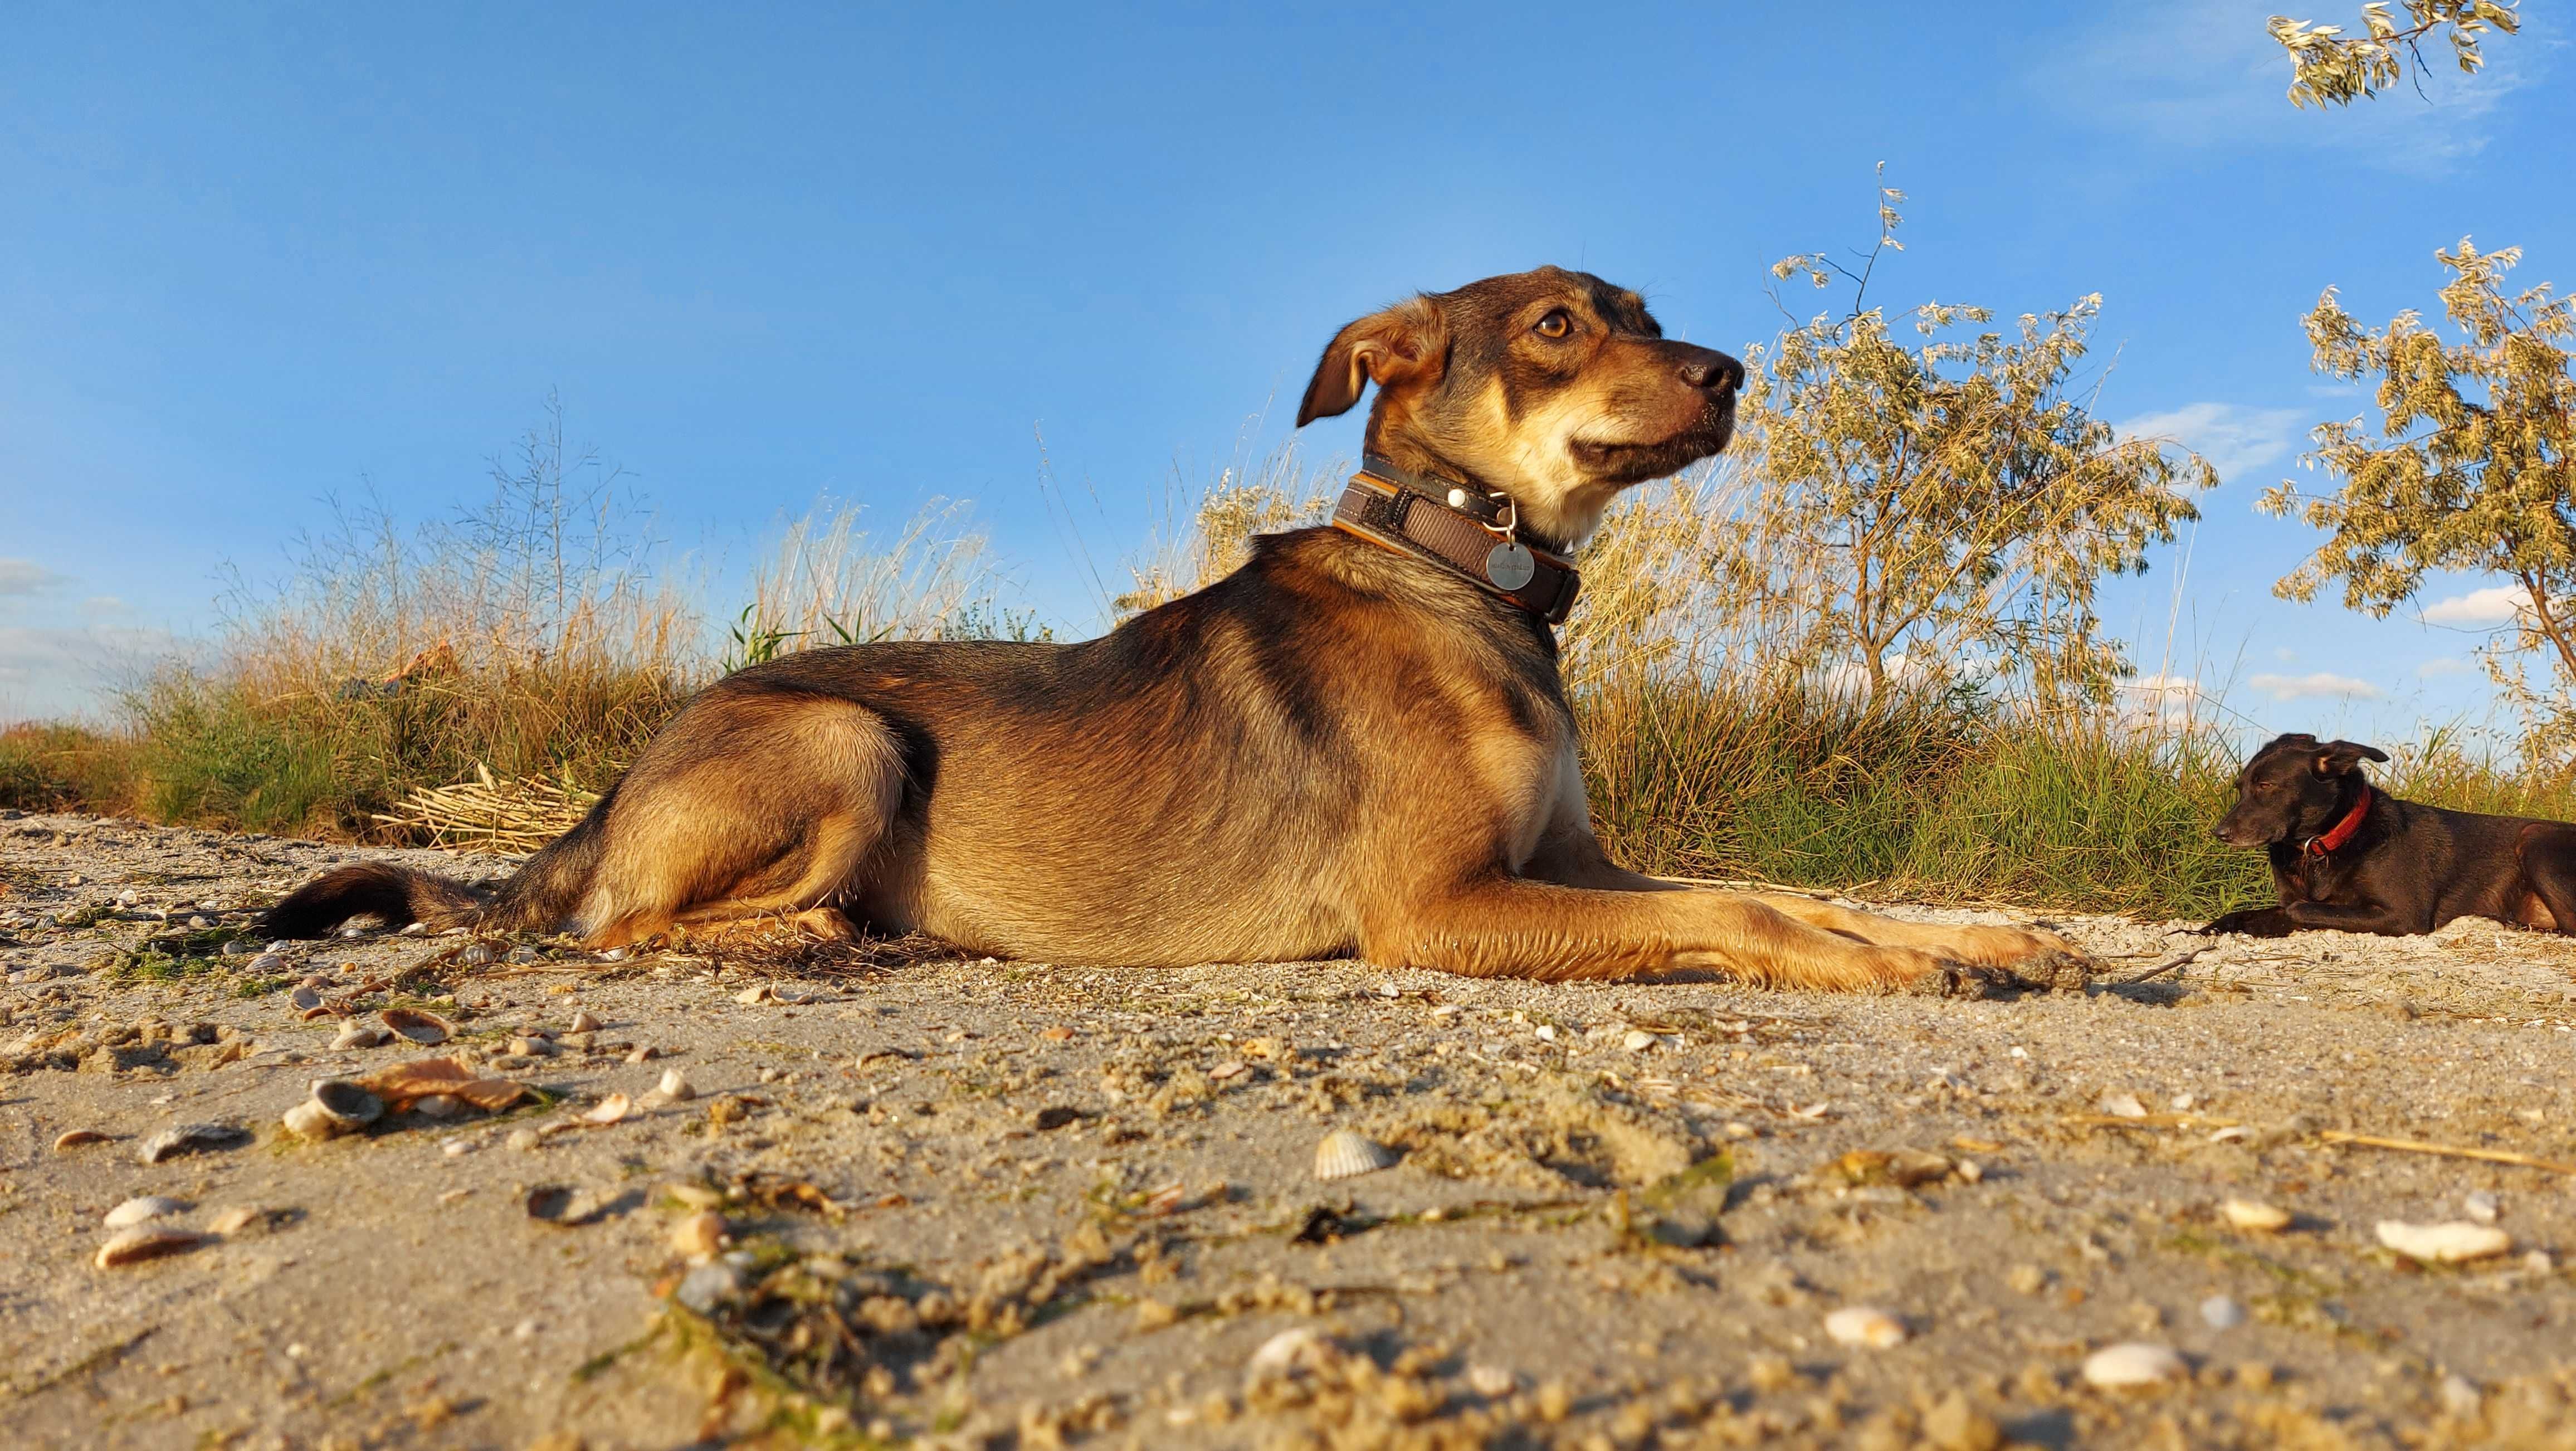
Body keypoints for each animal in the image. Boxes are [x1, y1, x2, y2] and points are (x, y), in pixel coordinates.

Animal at [251, 266, 2081, 995]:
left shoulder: (1574, 865)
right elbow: (1740, 908)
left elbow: (1778, 888)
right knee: (615, 927)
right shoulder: (1439, 907)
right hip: (845, 738)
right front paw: (1889, 965)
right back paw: (819, 938)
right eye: (1561, 325)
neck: (1462, 581)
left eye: (1642, 314)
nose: (1729, 374)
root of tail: (615, 782)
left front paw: (1976, 937)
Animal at [2205, 732, 2576, 938]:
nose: (2220, 833)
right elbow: (2247, 914)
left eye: (2266, 786)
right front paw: (2208, 930)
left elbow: (2301, 909)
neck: (2326, 843)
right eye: (2240, 787)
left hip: (2534, 836)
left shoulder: (2402, 915)